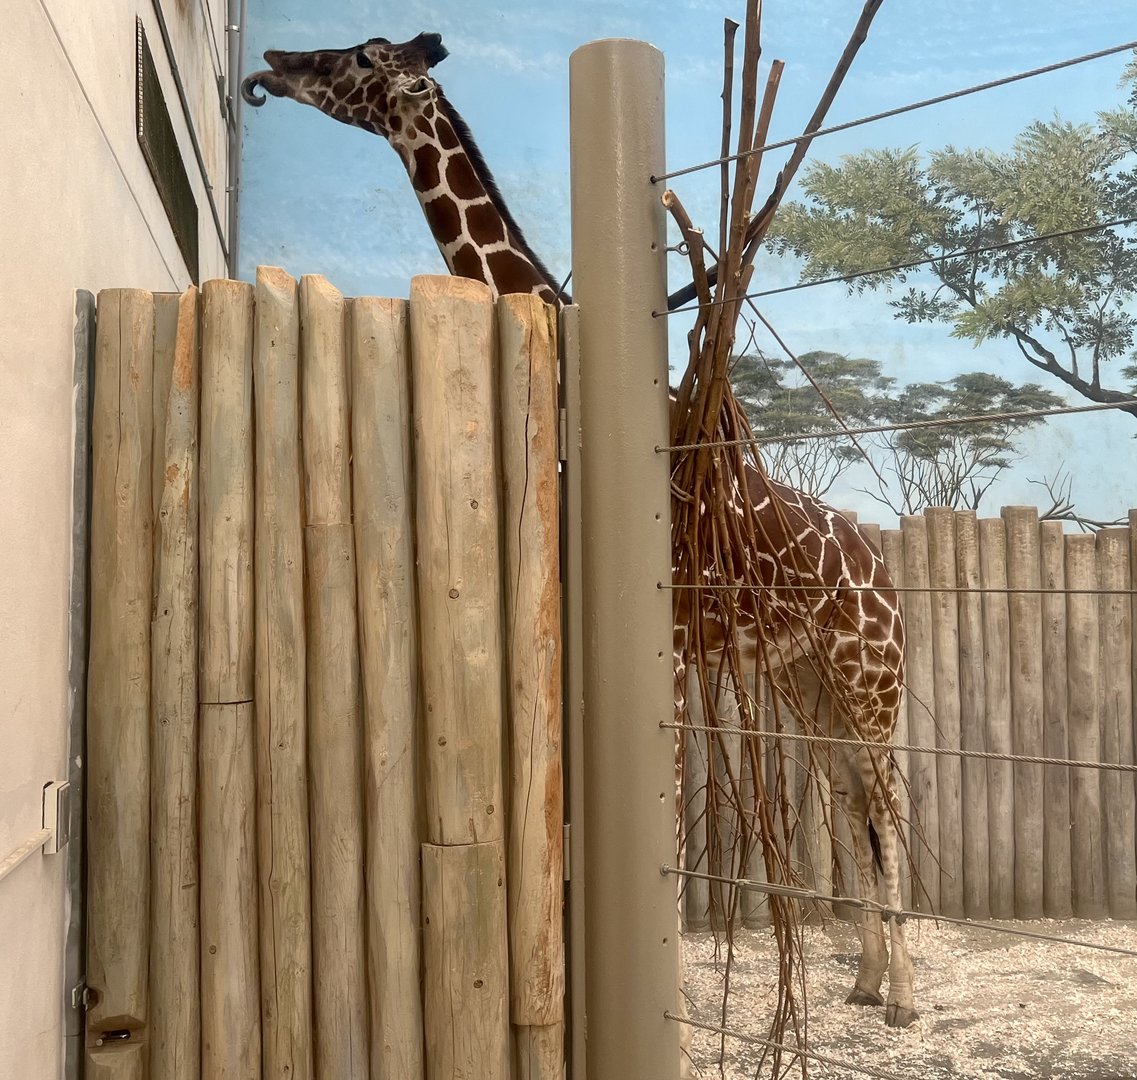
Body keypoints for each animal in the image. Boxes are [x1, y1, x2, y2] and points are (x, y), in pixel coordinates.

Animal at [242, 31, 919, 1029]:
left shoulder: (666, 650)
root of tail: (883, 571)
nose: (273, 64)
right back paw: (868, 982)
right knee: (847, 802)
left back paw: (906, 998)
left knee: (888, 804)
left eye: (363, 57)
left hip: (873, 676)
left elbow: (664, 836)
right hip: (808, 683)